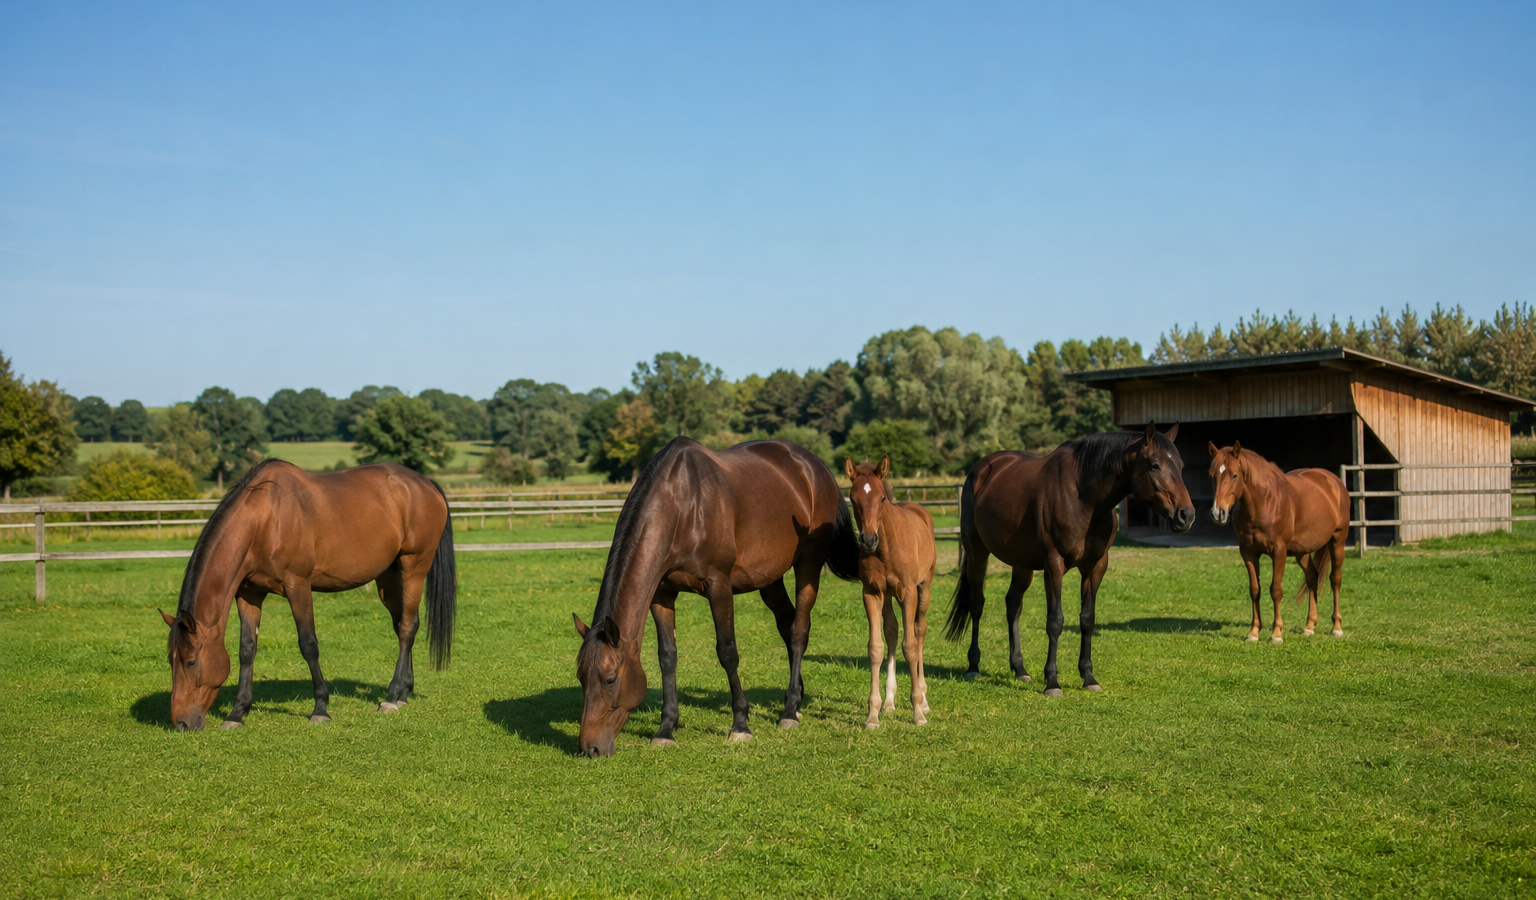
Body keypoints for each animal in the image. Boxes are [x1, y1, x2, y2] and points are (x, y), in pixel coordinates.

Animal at [159, 459, 456, 731]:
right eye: (170, 660)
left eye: (191, 662)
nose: (181, 723)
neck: (264, 520)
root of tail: (426, 483)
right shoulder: (249, 593)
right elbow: (247, 649)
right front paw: (237, 712)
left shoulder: (298, 586)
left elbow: (308, 645)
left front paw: (320, 709)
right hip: (389, 578)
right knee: (404, 624)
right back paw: (405, 692)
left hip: (414, 567)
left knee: (406, 627)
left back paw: (392, 697)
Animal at [572, 436, 859, 757]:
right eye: (580, 678)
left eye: (609, 680)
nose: (589, 748)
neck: (683, 506)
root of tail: (816, 466)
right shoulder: (662, 593)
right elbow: (667, 656)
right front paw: (666, 728)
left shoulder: (719, 585)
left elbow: (727, 652)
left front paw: (741, 725)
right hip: (769, 578)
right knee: (787, 625)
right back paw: (795, 699)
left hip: (808, 564)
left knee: (798, 630)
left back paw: (789, 713)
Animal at [845, 455, 938, 728]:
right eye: (853, 498)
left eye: (881, 499)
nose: (868, 540)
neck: (885, 548)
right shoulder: (871, 593)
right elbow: (876, 647)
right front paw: (873, 714)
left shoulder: (908, 592)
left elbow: (911, 645)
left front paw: (917, 711)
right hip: (887, 596)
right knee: (892, 631)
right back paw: (889, 702)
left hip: (924, 588)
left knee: (919, 631)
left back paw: (924, 700)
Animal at [943, 424, 1196, 695]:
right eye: (1154, 465)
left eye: (1180, 465)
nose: (1186, 515)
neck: (1083, 499)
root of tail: (982, 468)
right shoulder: (1054, 564)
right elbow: (1055, 621)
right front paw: (1052, 683)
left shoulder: (1096, 567)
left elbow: (1087, 620)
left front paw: (1089, 677)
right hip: (977, 553)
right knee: (977, 604)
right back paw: (973, 666)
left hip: (1021, 563)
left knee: (1013, 605)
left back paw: (1020, 669)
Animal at [1207, 442, 1348, 642]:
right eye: (1212, 476)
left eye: (1234, 475)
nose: (1218, 513)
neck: (1263, 504)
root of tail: (1333, 481)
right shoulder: (1248, 552)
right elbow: (1255, 589)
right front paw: (1254, 632)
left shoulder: (1279, 552)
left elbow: (1276, 590)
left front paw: (1276, 633)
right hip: (1302, 552)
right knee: (1312, 577)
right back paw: (1309, 626)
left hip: (1337, 541)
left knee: (1335, 579)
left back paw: (1336, 627)